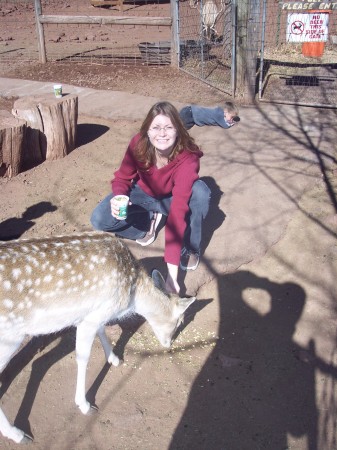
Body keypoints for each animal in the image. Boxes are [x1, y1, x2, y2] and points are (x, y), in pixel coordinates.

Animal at [0, 232, 194, 442]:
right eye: (180, 321)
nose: (169, 343)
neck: (132, 295)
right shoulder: (88, 320)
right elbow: (83, 357)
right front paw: (84, 405)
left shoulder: (96, 313)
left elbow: (102, 330)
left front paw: (115, 359)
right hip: (9, 338)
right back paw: (18, 434)